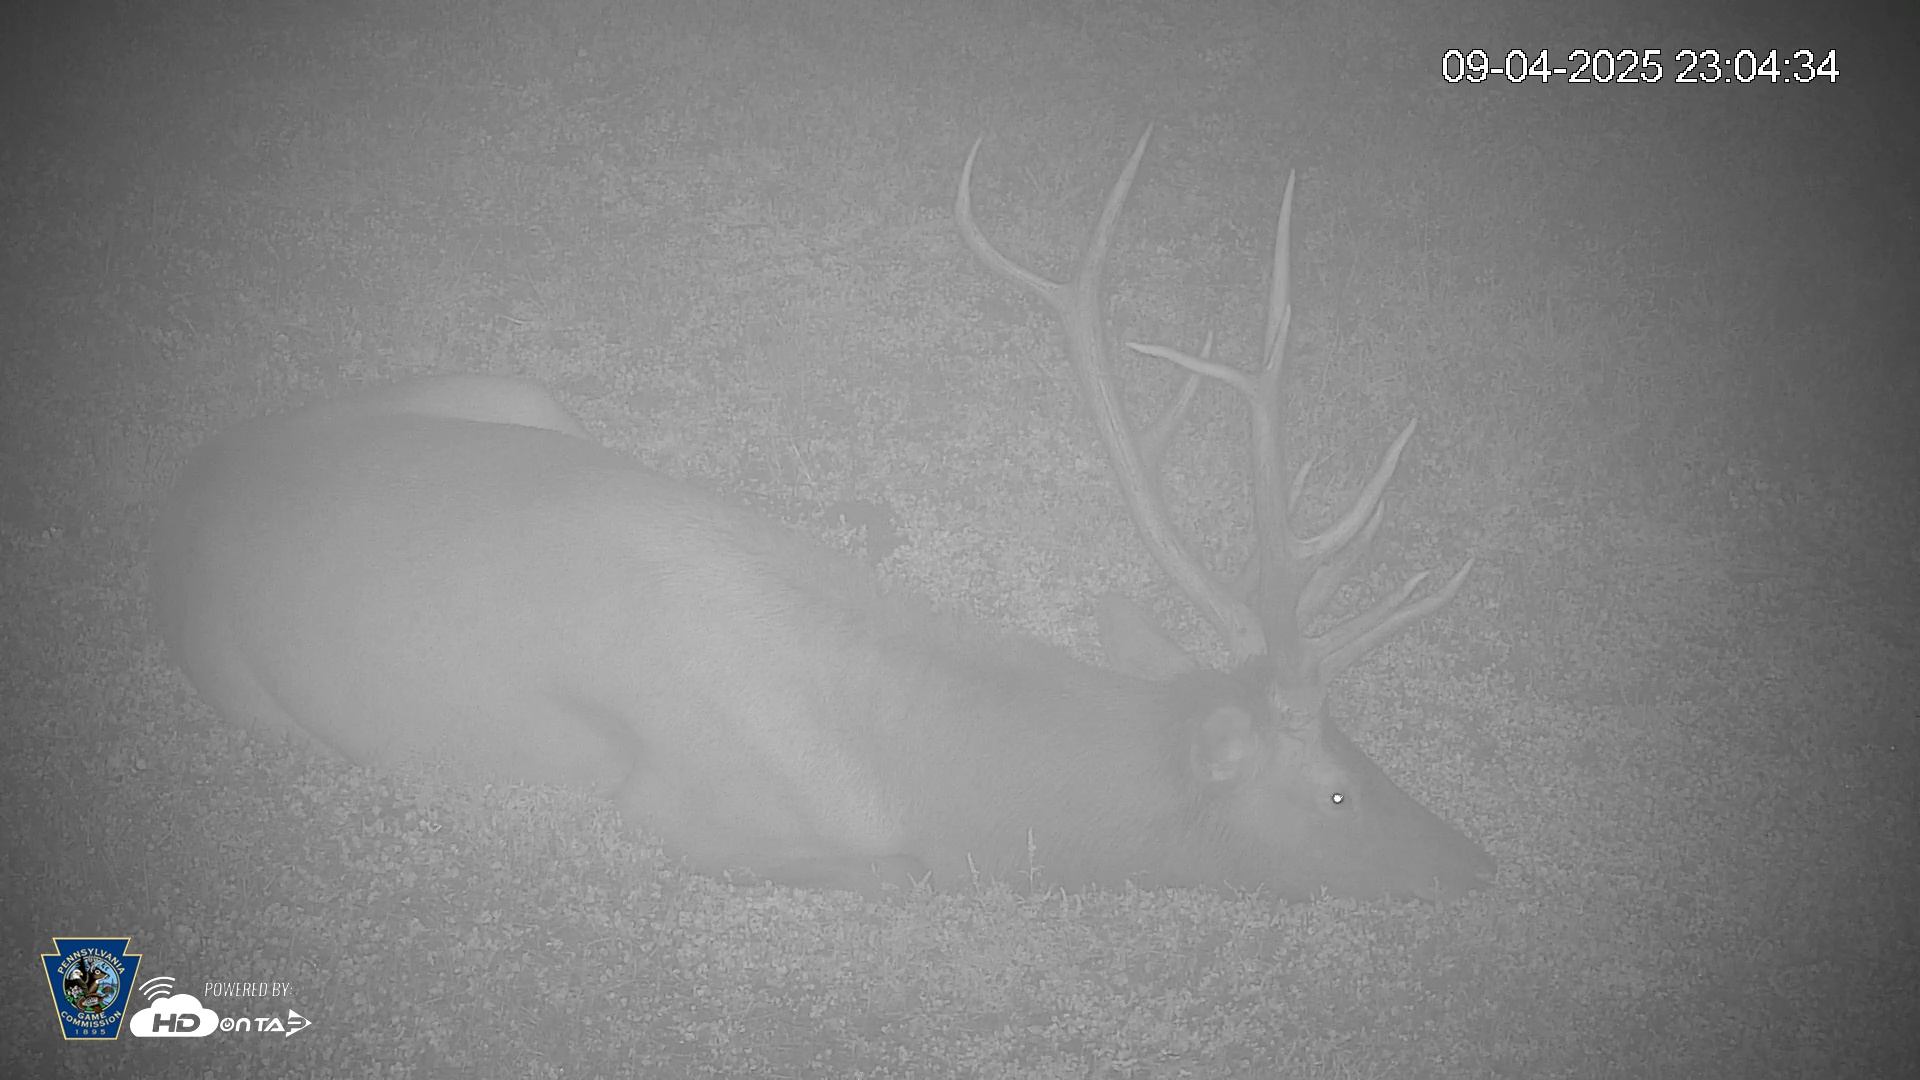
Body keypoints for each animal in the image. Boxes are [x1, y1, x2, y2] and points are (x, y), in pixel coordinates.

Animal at [150, 127, 1492, 900]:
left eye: (1368, 750)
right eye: (1338, 792)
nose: (1476, 860)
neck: (922, 756)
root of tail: (199, 473)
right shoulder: (698, 817)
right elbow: (899, 878)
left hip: (517, 393)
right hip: (252, 692)